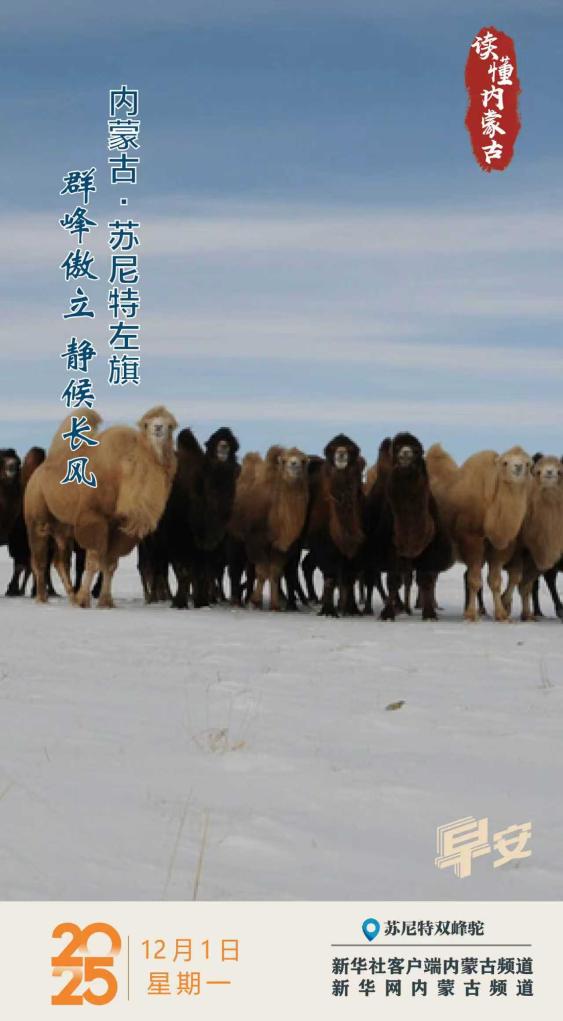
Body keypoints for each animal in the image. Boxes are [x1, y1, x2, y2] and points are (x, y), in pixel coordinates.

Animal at [24, 406, 177, 607]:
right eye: (146, 424)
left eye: (171, 425)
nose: (158, 428)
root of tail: (37, 473)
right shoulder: (95, 518)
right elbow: (93, 561)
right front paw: (84, 600)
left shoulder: (119, 526)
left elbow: (110, 564)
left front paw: (106, 601)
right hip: (37, 515)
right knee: (39, 559)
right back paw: (42, 599)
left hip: (63, 526)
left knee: (60, 560)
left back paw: (70, 596)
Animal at [427, 443, 532, 621]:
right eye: (505, 462)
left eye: (527, 463)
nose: (518, 467)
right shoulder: (471, 539)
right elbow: (474, 580)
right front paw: (470, 614)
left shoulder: (498, 548)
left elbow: (495, 581)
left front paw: (501, 614)